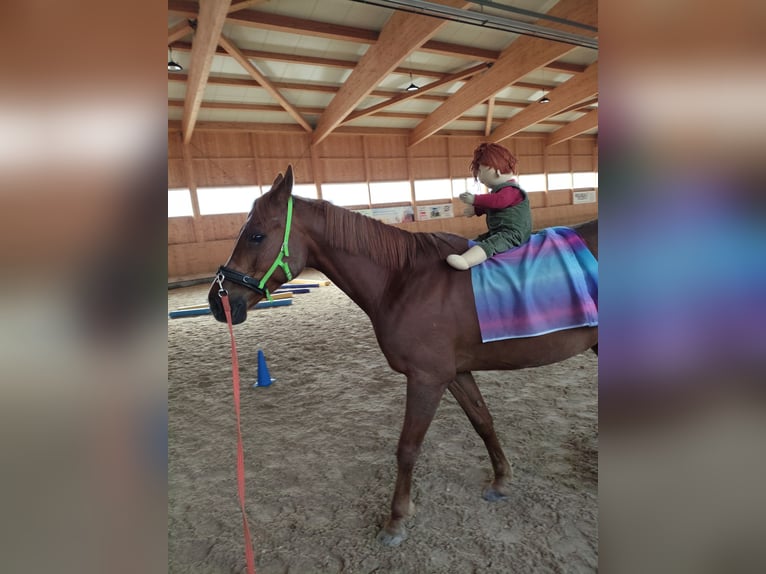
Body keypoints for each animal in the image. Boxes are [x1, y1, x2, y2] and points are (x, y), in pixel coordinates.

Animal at [208, 165, 598, 546]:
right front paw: (501, 480)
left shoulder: (426, 379)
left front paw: (396, 520)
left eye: (256, 235)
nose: (217, 300)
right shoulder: (454, 374)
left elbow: (408, 448)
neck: (404, 279)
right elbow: (483, 421)